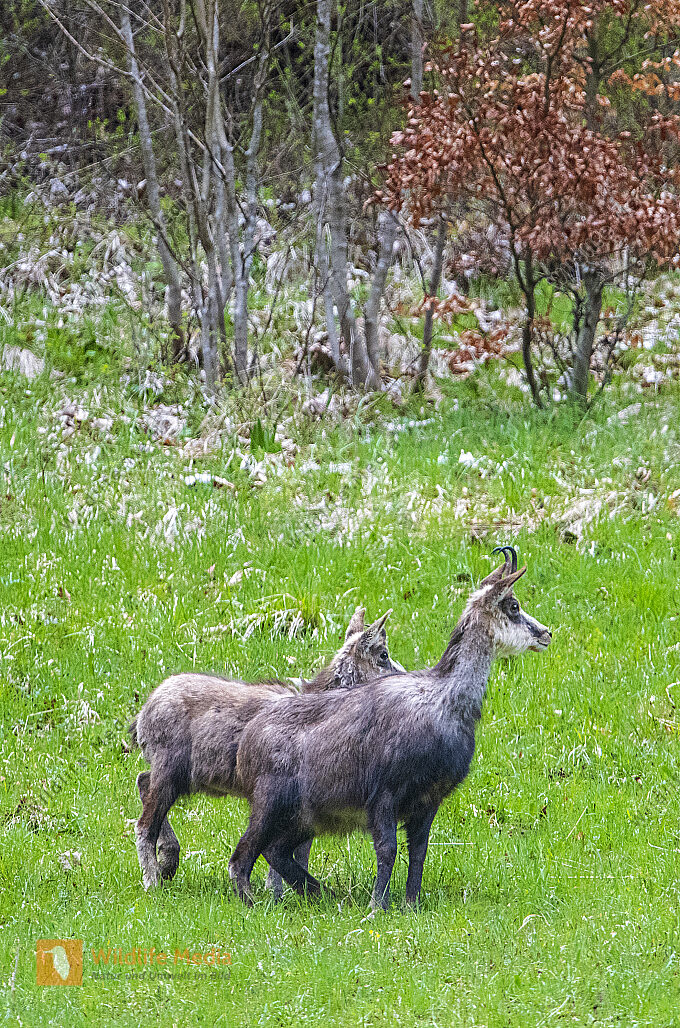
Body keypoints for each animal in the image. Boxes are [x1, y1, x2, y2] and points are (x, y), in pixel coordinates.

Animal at [130, 607, 403, 893]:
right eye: (383, 655)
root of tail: (144, 713)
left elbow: (302, 849)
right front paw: (276, 892)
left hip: (179, 775)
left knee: (143, 782)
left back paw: (167, 862)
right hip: (170, 767)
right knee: (144, 824)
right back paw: (152, 881)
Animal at [229, 547, 552, 909]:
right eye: (514, 605)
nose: (547, 633)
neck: (443, 701)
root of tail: (247, 741)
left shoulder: (428, 800)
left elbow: (418, 852)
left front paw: (411, 904)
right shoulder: (384, 796)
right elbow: (387, 850)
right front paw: (377, 906)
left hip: (304, 815)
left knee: (276, 851)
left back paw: (322, 895)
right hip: (271, 805)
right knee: (243, 856)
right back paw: (253, 902)